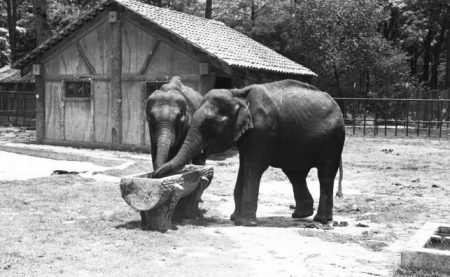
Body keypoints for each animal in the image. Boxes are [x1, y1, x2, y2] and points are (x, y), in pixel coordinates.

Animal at [153, 78, 346, 225]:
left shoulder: (263, 131)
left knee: (325, 174)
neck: (237, 94)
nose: (154, 175)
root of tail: (337, 105)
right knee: (295, 174)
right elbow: (243, 167)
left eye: (211, 123)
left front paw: (245, 222)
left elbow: (253, 168)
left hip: (334, 139)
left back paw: (321, 220)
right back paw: (301, 215)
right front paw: (234, 218)